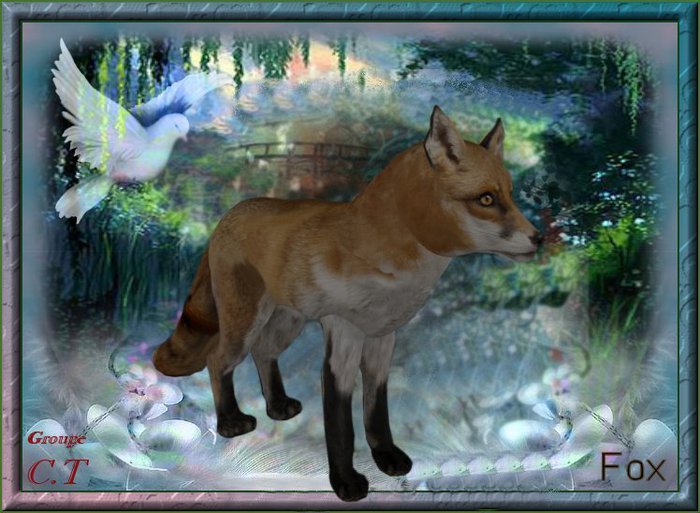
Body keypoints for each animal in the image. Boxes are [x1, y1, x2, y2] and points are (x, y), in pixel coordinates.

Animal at [153, 106, 540, 501]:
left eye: (510, 195)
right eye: (486, 200)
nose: (539, 238)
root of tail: (232, 212)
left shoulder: (383, 336)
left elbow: (376, 411)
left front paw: (386, 456)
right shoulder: (344, 334)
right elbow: (341, 423)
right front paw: (345, 482)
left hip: (287, 321)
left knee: (264, 353)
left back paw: (277, 406)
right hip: (243, 321)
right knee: (218, 360)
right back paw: (230, 421)